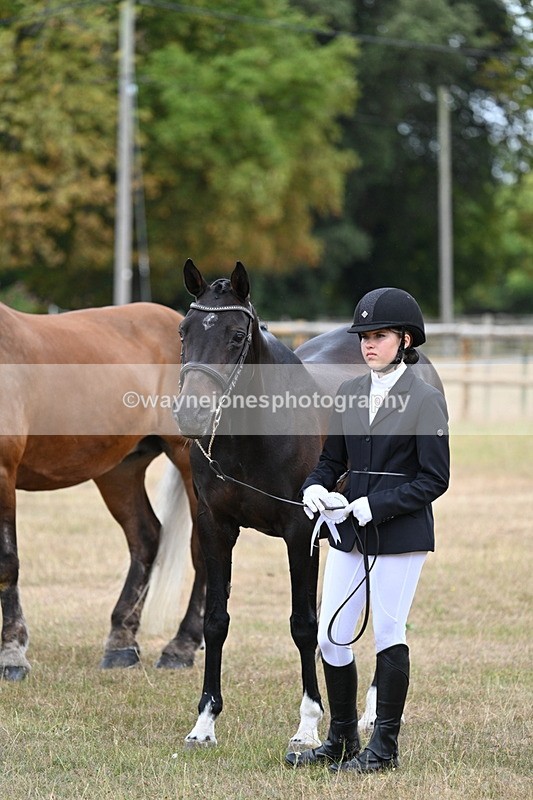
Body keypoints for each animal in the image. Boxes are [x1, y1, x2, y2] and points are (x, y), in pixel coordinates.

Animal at [0, 301, 205, 680]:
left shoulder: (4, 473)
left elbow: (7, 562)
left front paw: (12, 654)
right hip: (120, 470)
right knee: (145, 537)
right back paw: (121, 643)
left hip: (187, 460)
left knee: (201, 548)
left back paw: (180, 646)